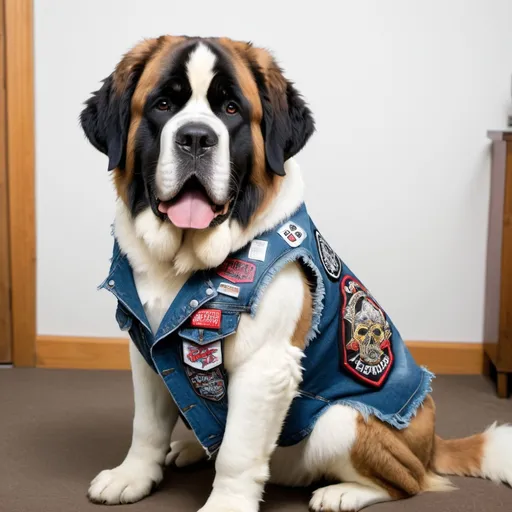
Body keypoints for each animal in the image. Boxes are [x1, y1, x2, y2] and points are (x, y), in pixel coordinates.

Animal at [81, 36, 512, 512]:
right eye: (162, 105)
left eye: (231, 108)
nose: (195, 137)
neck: (185, 259)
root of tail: (432, 443)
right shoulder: (148, 345)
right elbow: (148, 425)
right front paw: (133, 475)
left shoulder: (265, 366)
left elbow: (237, 452)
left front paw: (226, 503)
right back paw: (193, 447)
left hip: (341, 423)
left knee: (407, 481)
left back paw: (342, 493)